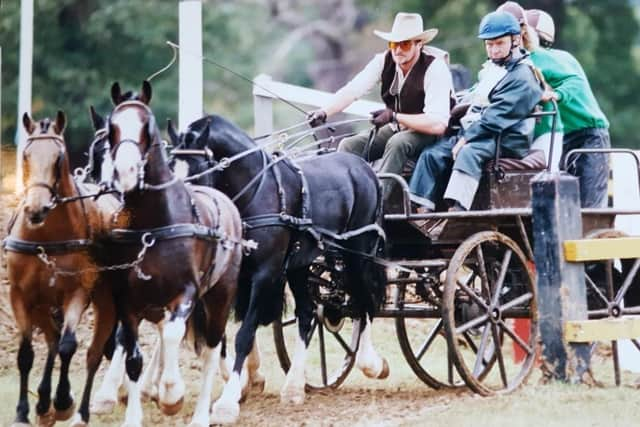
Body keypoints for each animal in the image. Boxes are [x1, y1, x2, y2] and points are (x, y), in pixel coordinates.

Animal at [3, 111, 120, 427]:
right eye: (26, 155)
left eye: (59, 158)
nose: (36, 209)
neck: (46, 237)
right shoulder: (20, 296)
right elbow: (26, 353)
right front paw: (23, 412)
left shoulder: (77, 292)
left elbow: (69, 346)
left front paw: (63, 401)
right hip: (43, 304)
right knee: (53, 340)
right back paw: (43, 403)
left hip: (105, 302)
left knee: (92, 352)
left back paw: (78, 410)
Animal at [95, 82, 242, 426]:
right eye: (112, 127)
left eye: (147, 126)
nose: (125, 171)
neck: (154, 226)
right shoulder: (129, 301)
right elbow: (133, 354)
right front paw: (131, 412)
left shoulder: (186, 293)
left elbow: (175, 335)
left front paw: (171, 394)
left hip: (220, 296)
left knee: (212, 348)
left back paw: (203, 413)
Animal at [170, 112, 388, 422]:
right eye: (169, 170)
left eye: (197, 171)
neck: (255, 192)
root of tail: (364, 168)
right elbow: (220, 334)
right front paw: (240, 386)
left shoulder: (265, 274)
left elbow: (244, 334)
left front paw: (227, 403)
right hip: (301, 265)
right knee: (308, 314)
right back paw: (294, 387)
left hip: (358, 253)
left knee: (364, 300)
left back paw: (371, 363)